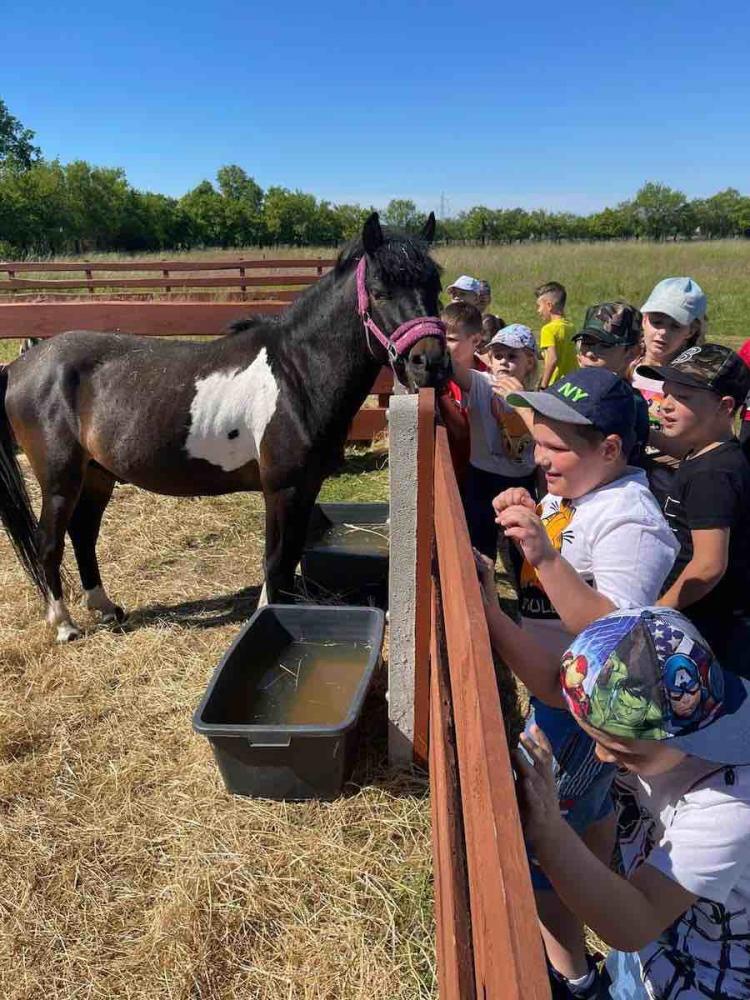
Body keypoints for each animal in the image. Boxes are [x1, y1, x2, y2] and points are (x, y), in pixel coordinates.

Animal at [0, 215, 450, 644]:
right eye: (380, 291)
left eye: (434, 285)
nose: (429, 363)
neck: (297, 375)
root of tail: (21, 366)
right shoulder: (282, 489)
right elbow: (276, 560)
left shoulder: (307, 487)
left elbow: (289, 557)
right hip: (60, 479)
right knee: (49, 542)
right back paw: (64, 625)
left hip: (97, 475)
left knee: (83, 534)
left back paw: (106, 608)